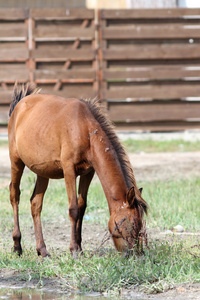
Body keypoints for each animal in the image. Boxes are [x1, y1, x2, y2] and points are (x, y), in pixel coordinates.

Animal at [8, 83, 147, 256]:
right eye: (130, 223)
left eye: (140, 224)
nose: (135, 254)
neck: (85, 129)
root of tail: (19, 105)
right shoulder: (69, 170)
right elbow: (73, 209)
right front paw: (74, 249)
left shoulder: (88, 172)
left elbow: (81, 207)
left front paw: (80, 248)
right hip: (16, 161)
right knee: (15, 195)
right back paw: (17, 245)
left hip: (42, 172)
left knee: (35, 203)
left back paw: (42, 250)